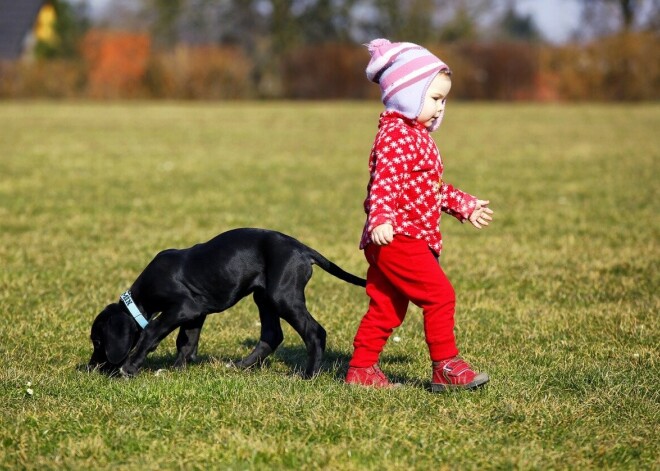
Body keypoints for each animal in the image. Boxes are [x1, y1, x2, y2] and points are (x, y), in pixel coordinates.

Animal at [87, 229, 366, 380]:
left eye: (99, 342)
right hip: (263, 296)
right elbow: (186, 341)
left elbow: (151, 331)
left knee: (315, 332)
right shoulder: (195, 313)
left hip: (282, 295)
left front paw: (130, 367)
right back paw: (241, 365)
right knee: (271, 335)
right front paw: (178, 369)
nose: (90, 368)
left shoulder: (183, 307)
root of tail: (301, 248)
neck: (141, 298)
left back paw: (309, 375)